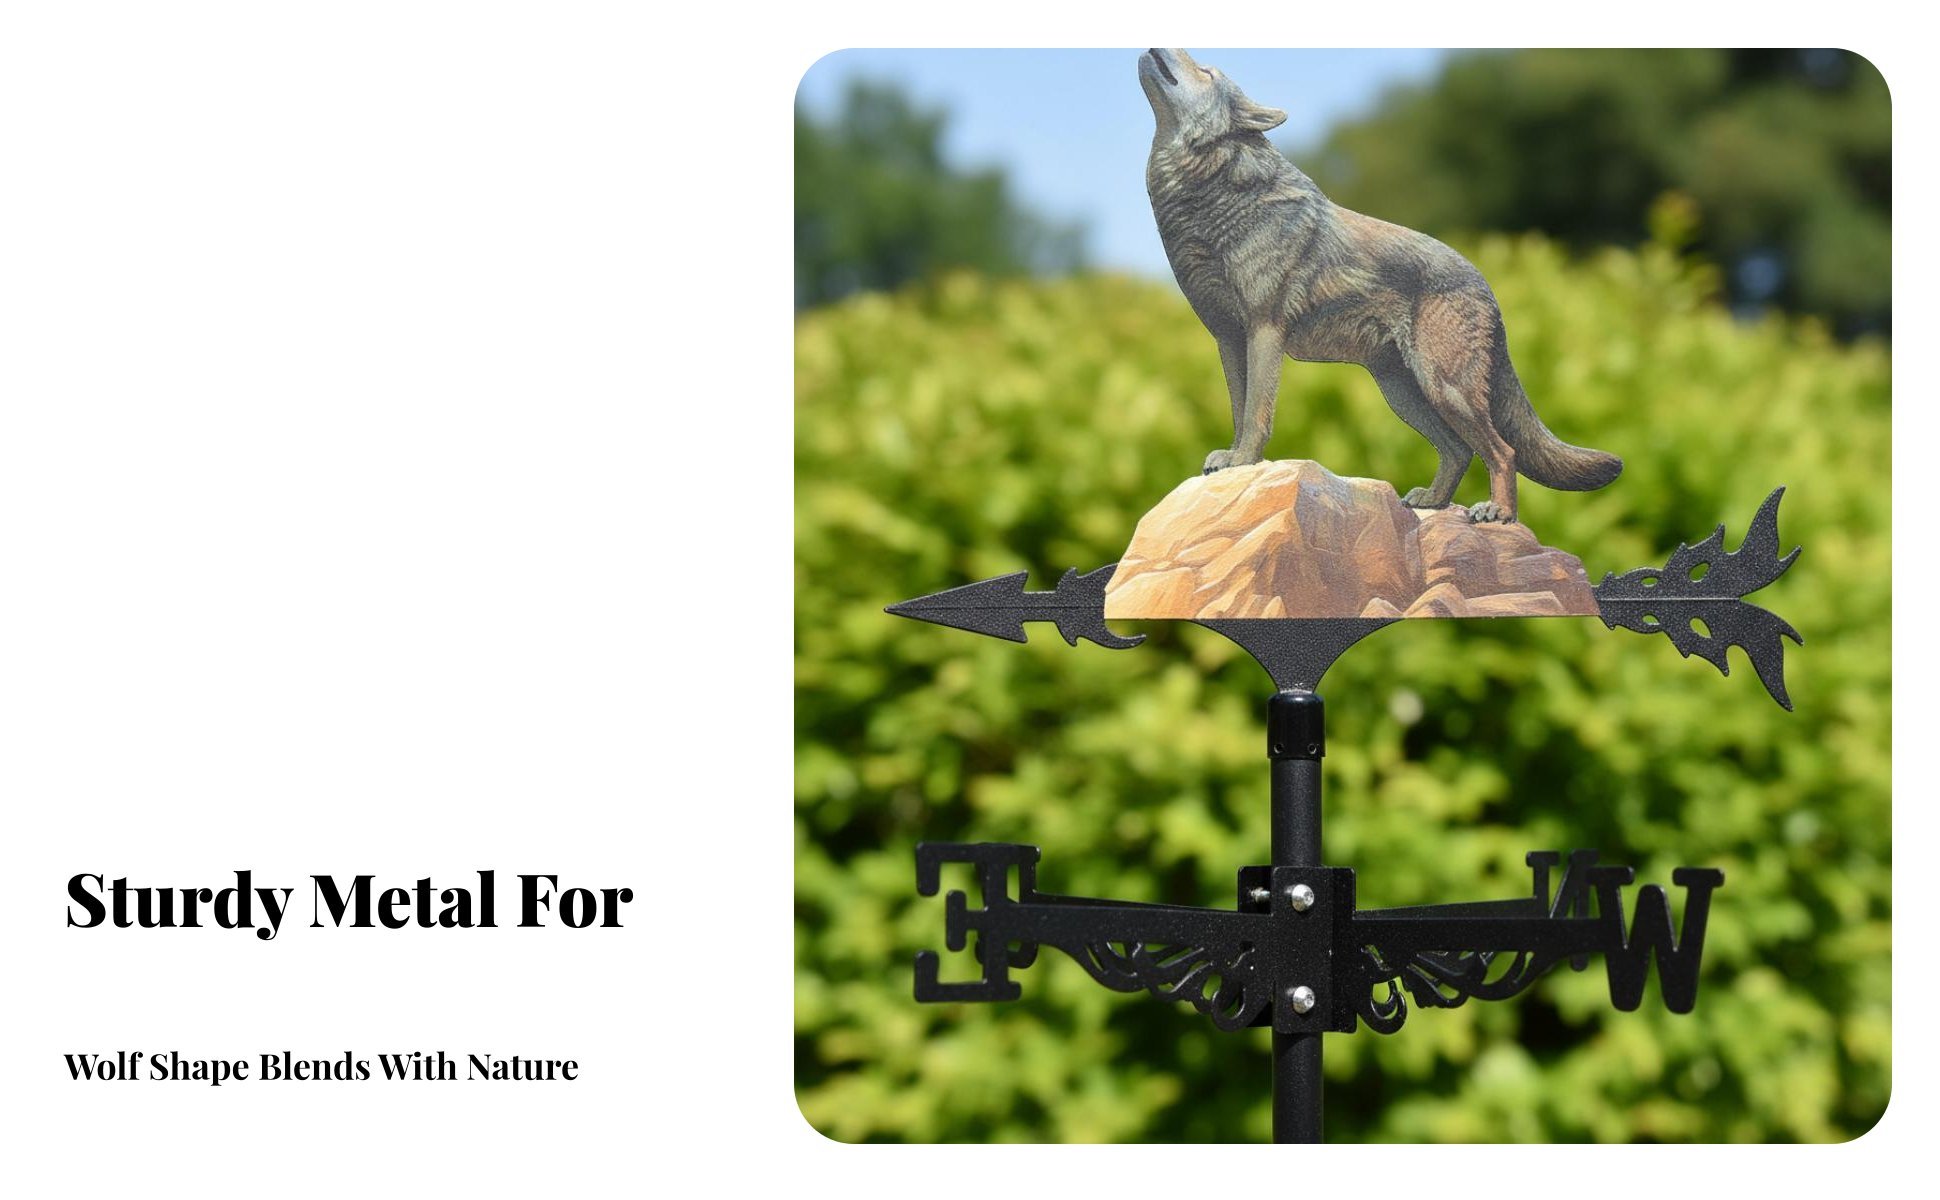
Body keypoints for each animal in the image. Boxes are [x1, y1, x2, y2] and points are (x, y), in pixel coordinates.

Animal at [1138, 48, 1621, 523]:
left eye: (1206, 71)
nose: (1155, 47)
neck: (1214, 195)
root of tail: (1485, 284)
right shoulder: (1228, 339)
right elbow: (1239, 410)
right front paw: (1235, 460)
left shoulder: (1263, 332)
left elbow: (1257, 414)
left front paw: (1243, 460)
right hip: (1404, 394)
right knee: (1460, 450)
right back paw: (1432, 501)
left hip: (1444, 389)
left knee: (1503, 451)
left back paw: (1498, 512)